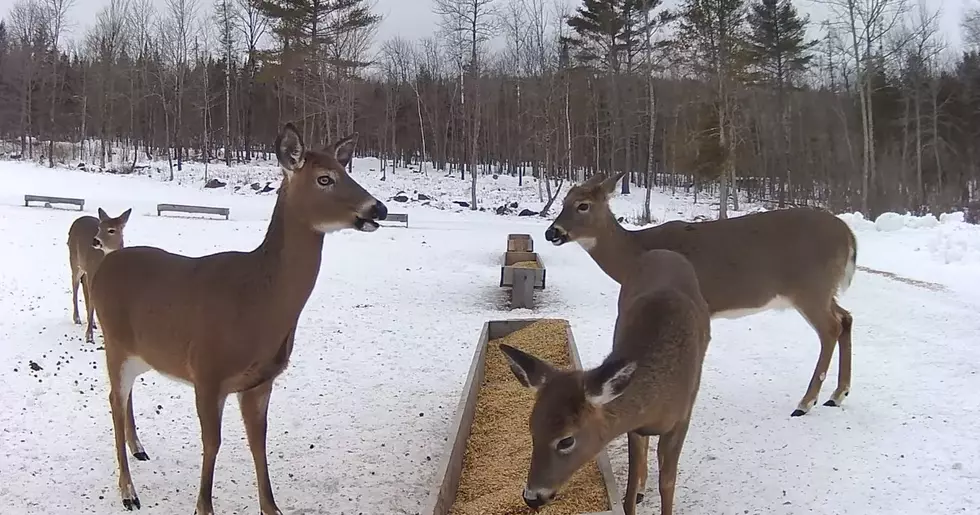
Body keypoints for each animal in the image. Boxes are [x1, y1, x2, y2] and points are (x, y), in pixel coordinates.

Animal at [68, 208, 133, 344]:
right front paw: (89, 336)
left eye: (112, 230)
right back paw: (77, 318)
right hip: (75, 261)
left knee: (85, 291)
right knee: (75, 286)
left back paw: (92, 323)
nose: (95, 241)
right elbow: (93, 305)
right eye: (99, 228)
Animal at [88, 123, 386, 512]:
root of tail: (105, 264)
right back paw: (128, 491)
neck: (258, 305)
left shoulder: (260, 381)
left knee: (125, 397)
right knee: (113, 400)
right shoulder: (207, 372)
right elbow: (212, 443)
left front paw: (271, 507)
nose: (379, 208)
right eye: (325, 178)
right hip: (115, 341)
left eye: (346, 170)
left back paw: (138, 449)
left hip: (142, 353)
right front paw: (203, 506)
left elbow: (259, 443)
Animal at [502, 249, 708, 515]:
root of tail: (665, 252)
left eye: (566, 440)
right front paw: (634, 495)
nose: (532, 497)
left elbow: (667, 482)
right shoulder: (635, 428)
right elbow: (631, 482)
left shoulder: (683, 417)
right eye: (531, 430)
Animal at [544, 171, 856, 418]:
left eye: (583, 205)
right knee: (846, 318)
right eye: (563, 202)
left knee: (831, 328)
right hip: (824, 290)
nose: (551, 233)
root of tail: (849, 236)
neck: (636, 253)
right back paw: (837, 395)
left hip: (810, 287)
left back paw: (806, 403)